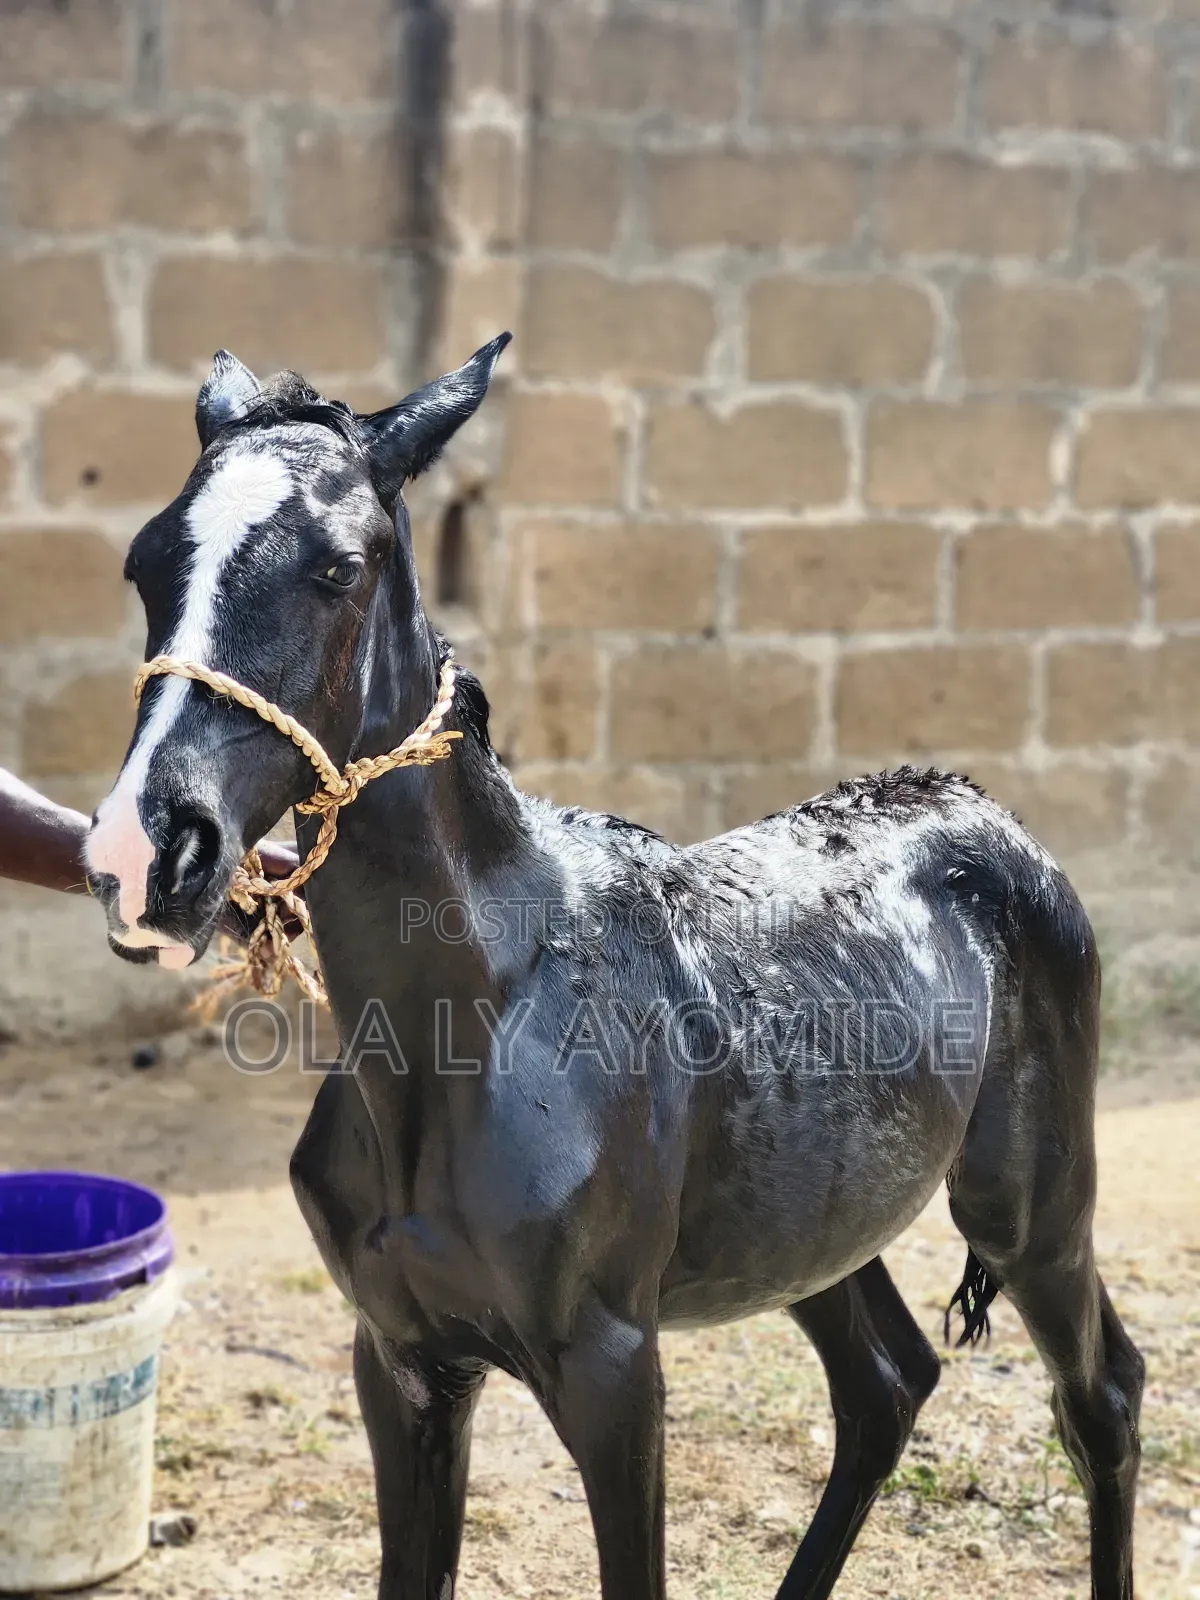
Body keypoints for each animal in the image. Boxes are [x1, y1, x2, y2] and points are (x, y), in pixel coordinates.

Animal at [85, 336, 1144, 1600]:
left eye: (337, 568)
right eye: (147, 562)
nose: (145, 853)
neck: (476, 1029)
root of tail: (984, 811)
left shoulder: (612, 1371)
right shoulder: (403, 1362)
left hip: (1036, 1210)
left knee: (1103, 1398)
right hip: (814, 1222)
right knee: (887, 1382)